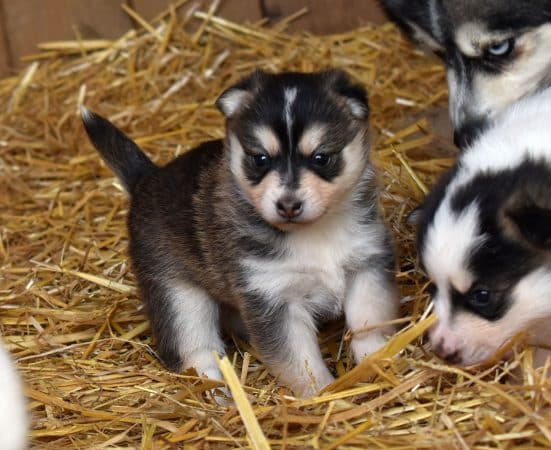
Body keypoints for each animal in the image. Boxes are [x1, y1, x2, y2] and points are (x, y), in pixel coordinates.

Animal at [81, 70, 402, 398]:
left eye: (321, 158)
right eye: (260, 159)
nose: (288, 205)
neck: (313, 234)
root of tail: (147, 179)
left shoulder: (366, 265)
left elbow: (370, 319)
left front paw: (377, 358)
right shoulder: (273, 299)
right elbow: (301, 362)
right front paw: (320, 396)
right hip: (177, 295)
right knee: (195, 349)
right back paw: (219, 392)